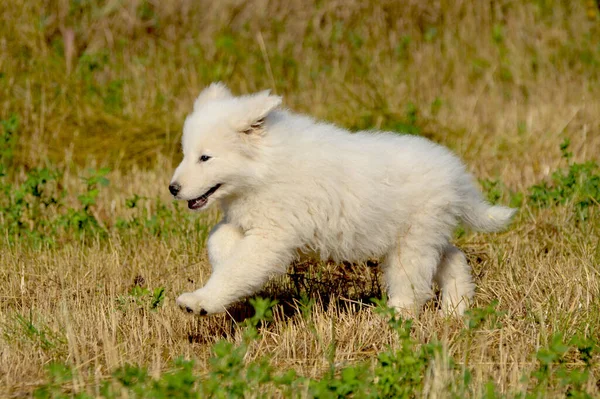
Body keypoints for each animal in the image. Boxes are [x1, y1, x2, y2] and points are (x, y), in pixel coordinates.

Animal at [170, 83, 516, 318]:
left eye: (205, 157)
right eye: (186, 154)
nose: (173, 188)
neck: (263, 167)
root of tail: (457, 175)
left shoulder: (272, 237)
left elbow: (237, 269)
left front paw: (200, 301)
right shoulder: (252, 222)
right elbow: (219, 239)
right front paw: (221, 260)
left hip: (411, 243)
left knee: (412, 285)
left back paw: (396, 318)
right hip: (425, 235)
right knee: (452, 258)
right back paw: (454, 311)